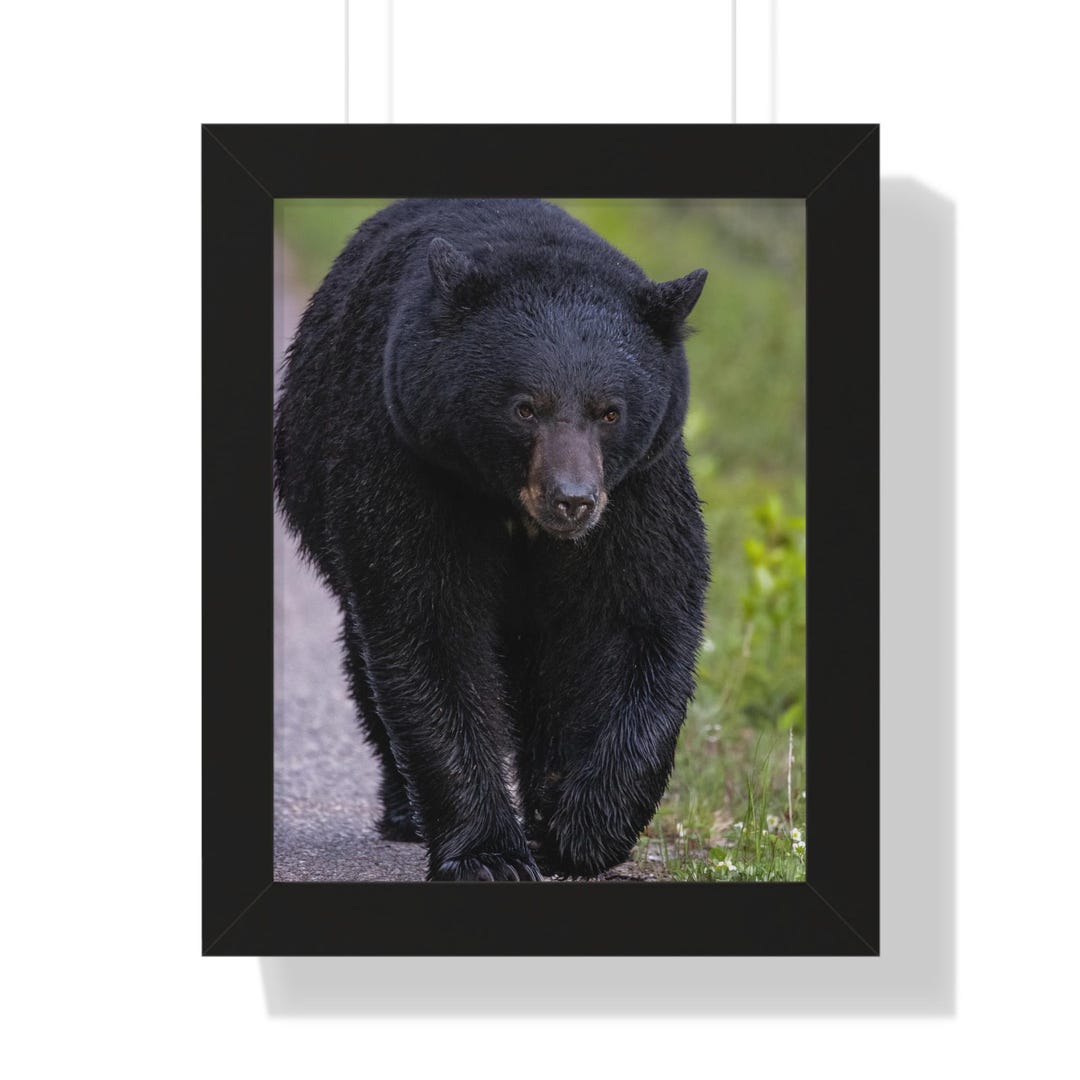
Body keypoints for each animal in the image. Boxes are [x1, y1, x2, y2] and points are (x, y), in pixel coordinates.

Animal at [274, 198, 709, 881]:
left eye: (609, 411)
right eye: (525, 407)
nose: (572, 499)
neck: (512, 506)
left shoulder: (639, 483)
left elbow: (639, 613)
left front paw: (582, 826)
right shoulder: (410, 460)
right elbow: (430, 625)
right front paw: (488, 853)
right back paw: (406, 811)